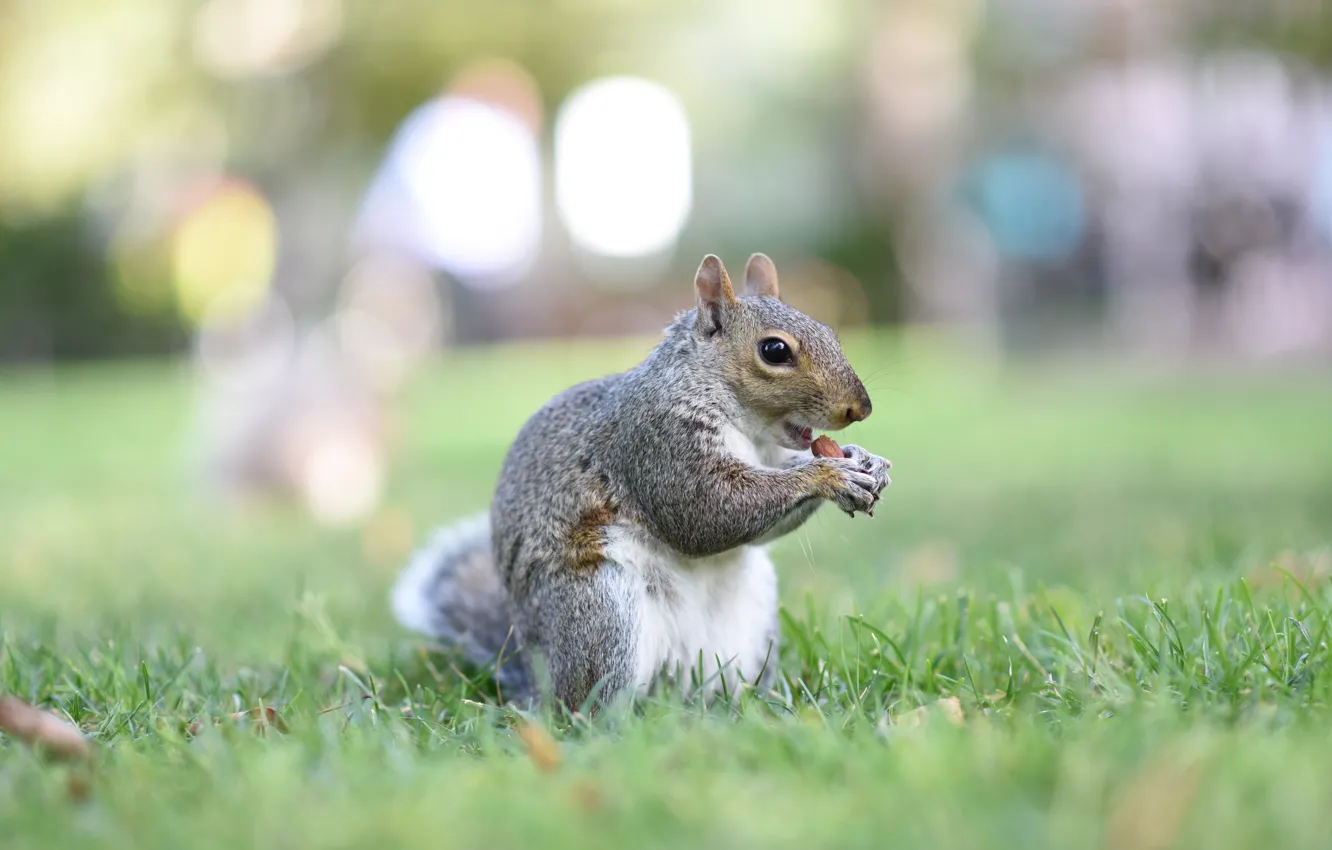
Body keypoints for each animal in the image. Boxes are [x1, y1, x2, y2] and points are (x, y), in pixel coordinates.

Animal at [391, 253, 891, 710]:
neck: (745, 426)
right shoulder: (656, 442)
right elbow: (708, 512)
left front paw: (864, 460)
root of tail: (537, 683)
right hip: (599, 611)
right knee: (588, 705)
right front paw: (828, 474)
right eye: (774, 351)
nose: (861, 408)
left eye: (830, 333)